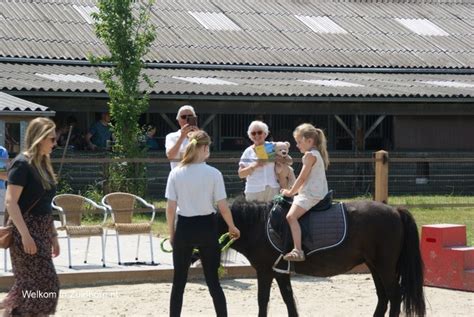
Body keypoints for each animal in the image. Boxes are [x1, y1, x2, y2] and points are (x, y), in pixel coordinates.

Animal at [218, 198, 426, 316]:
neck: (258, 224)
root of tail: (395, 210)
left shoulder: (265, 271)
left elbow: (263, 300)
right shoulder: (280, 272)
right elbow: (288, 298)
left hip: (385, 266)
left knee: (394, 295)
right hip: (374, 266)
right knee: (383, 297)